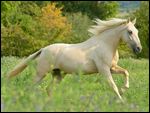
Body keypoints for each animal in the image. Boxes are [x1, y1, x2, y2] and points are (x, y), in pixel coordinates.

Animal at [7, 17, 142, 102]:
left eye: (137, 31)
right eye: (130, 31)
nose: (138, 48)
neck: (105, 44)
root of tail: (43, 49)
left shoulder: (112, 68)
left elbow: (126, 72)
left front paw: (124, 90)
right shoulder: (104, 69)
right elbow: (113, 86)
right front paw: (121, 102)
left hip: (58, 74)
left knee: (48, 89)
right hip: (41, 73)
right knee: (30, 87)